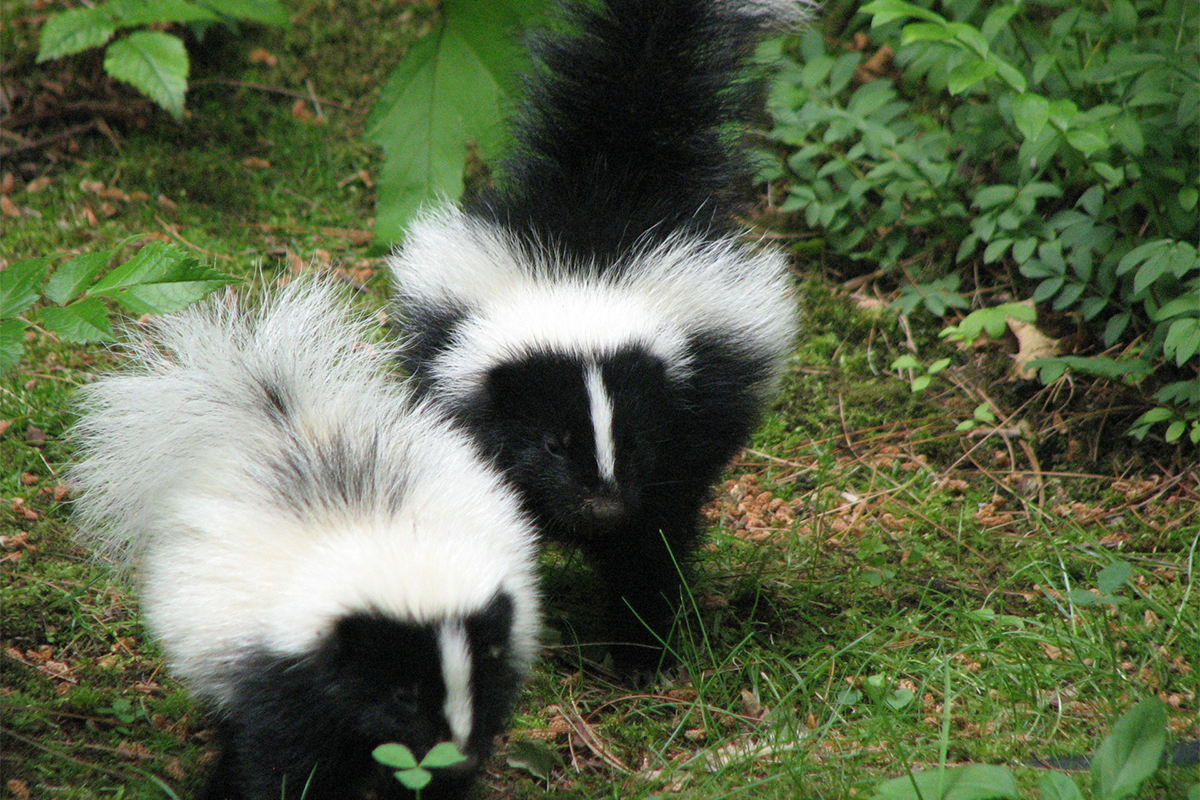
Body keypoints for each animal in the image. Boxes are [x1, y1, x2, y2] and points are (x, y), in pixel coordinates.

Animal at [70, 281, 540, 800]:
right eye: (402, 694)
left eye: (480, 676)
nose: (457, 756)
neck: (380, 537)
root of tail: (287, 421)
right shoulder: (279, 670)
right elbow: (281, 757)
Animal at [388, 0, 811, 671]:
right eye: (552, 443)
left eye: (636, 438)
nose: (604, 506)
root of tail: (616, 160)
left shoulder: (682, 436)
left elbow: (650, 542)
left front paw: (641, 650)